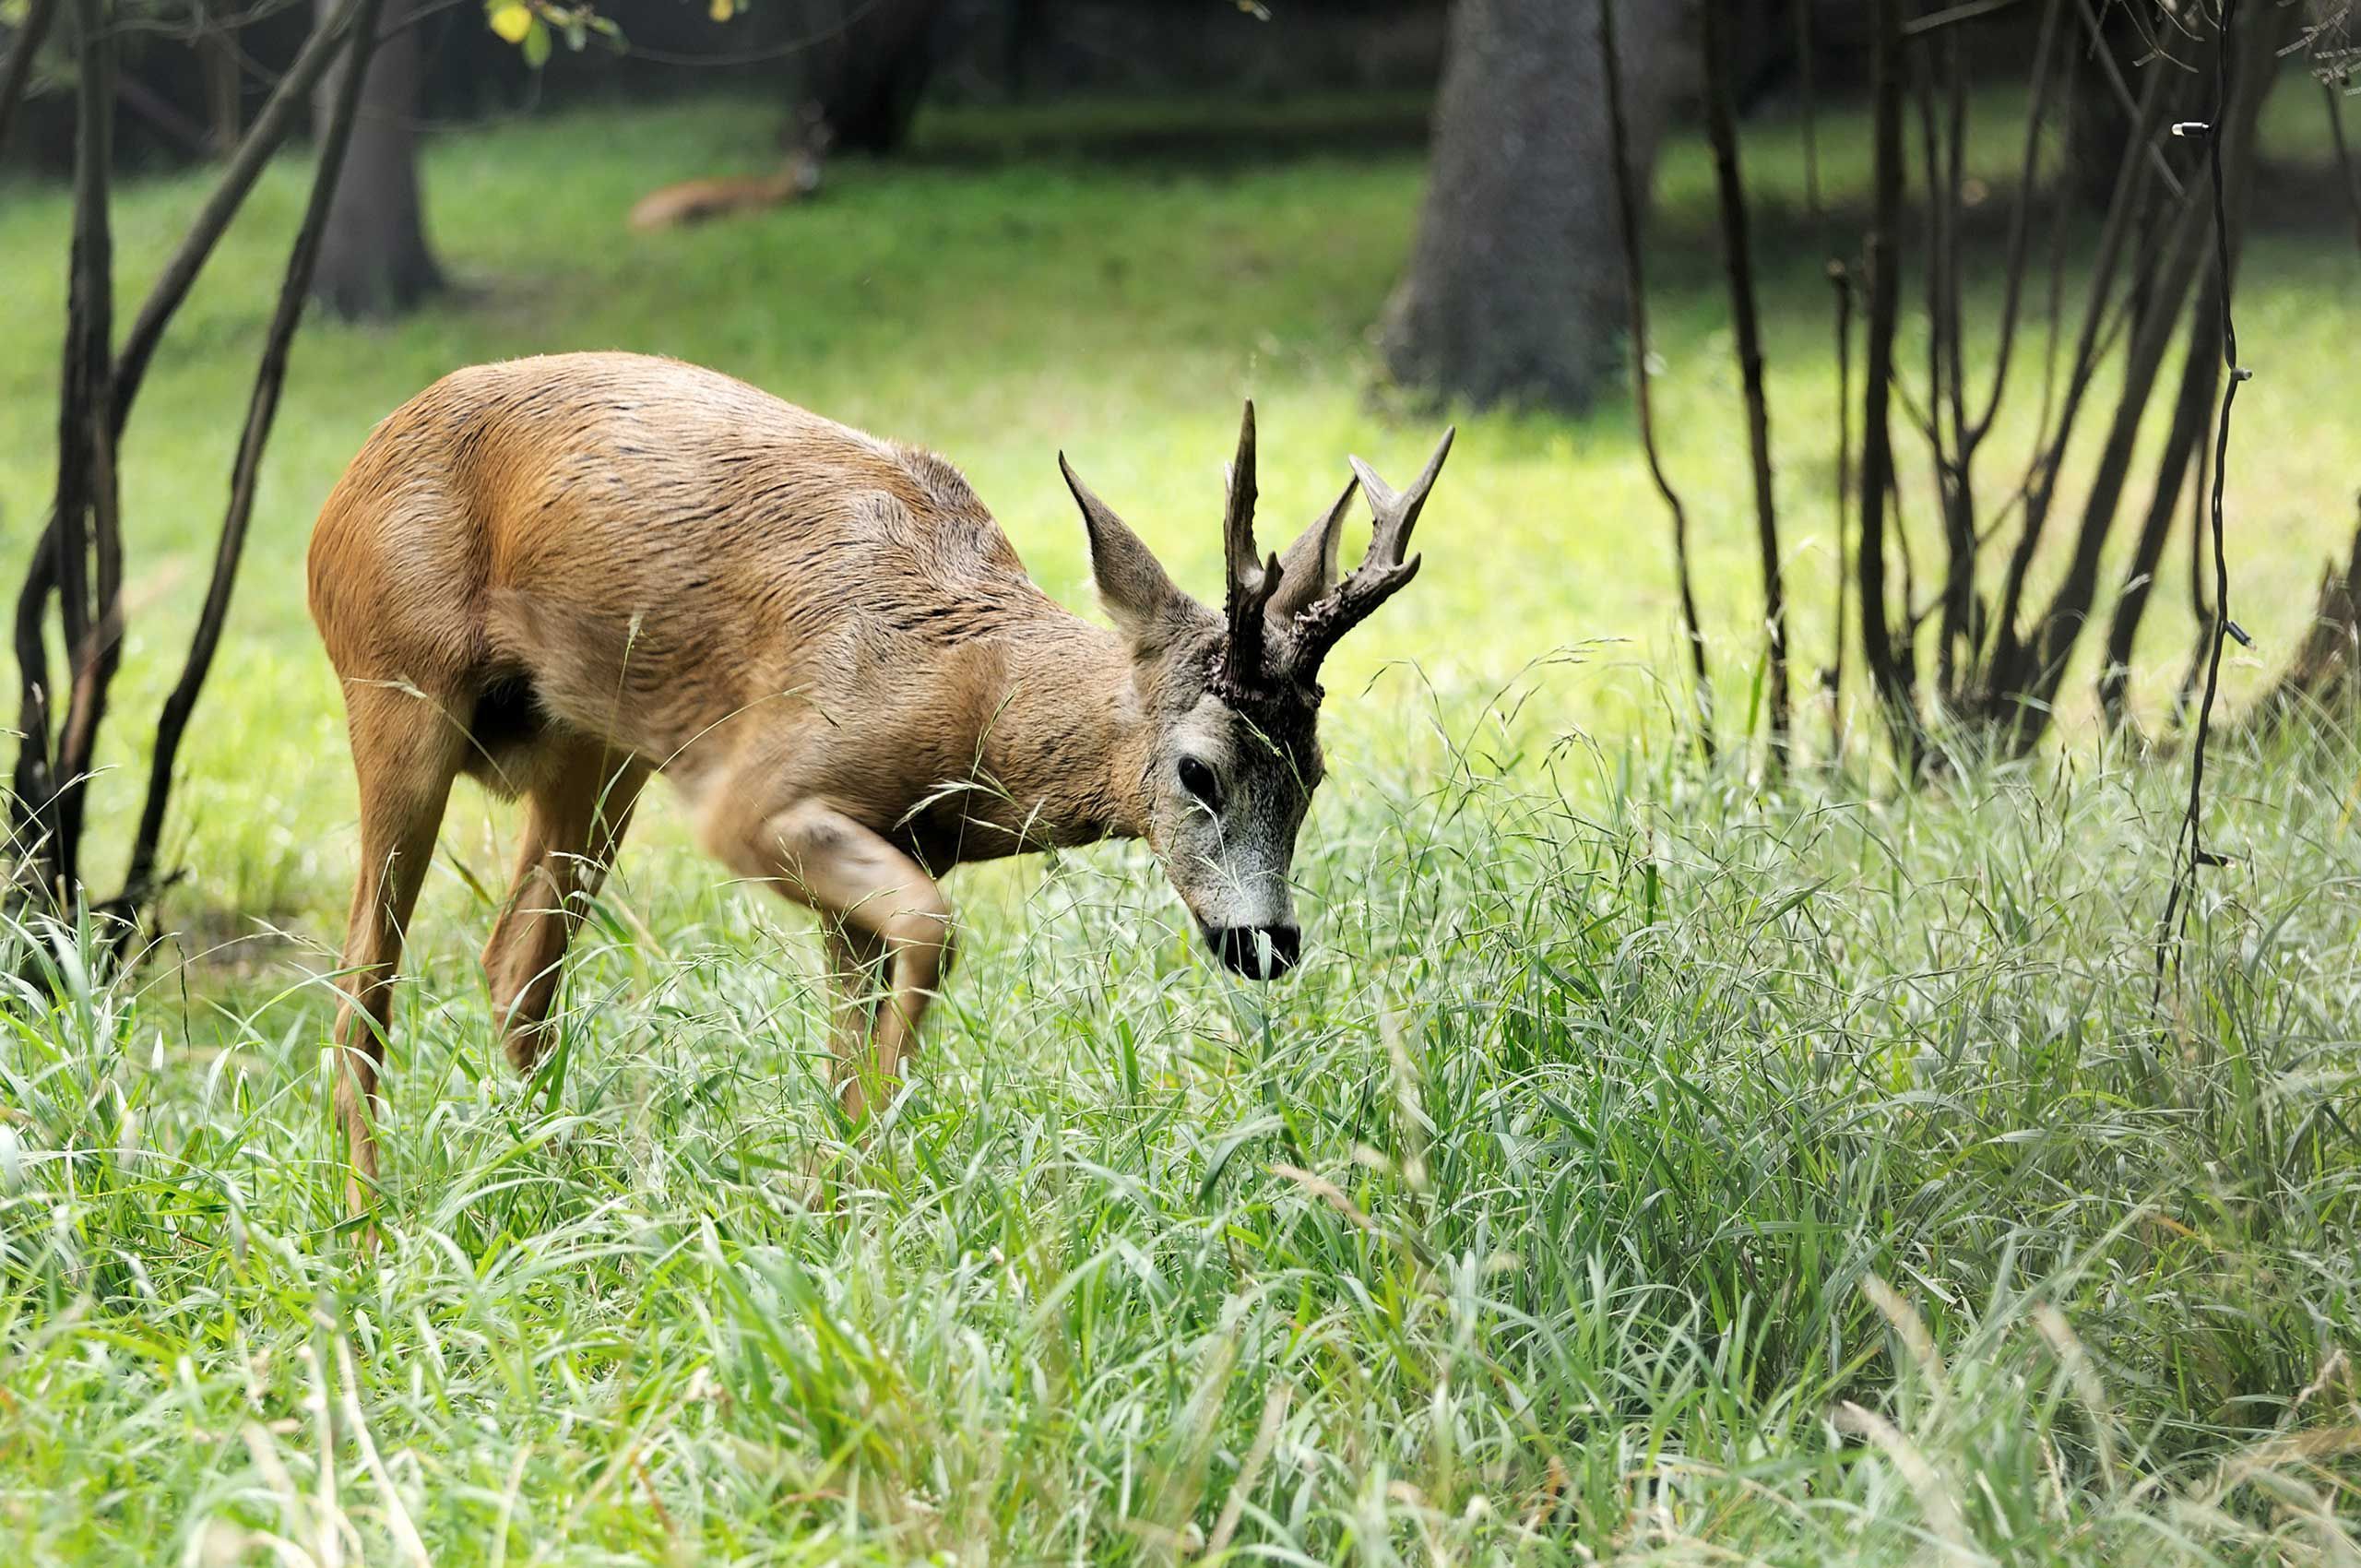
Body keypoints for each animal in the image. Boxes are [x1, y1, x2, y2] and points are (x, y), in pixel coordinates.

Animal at [309, 359, 1453, 1208]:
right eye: (1197, 767)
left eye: (1312, 771)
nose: (1266, 943)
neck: (967, 696)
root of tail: (338, 492)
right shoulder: (758, 797)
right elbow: (932, 932)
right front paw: (853, 1172)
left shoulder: (887, 846)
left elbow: (856, 1018)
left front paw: (839, 1195)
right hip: (395, 685)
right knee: (364, 976)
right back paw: (370, 1222)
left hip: (591, 749)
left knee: (515, 963)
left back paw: (566, 1183)